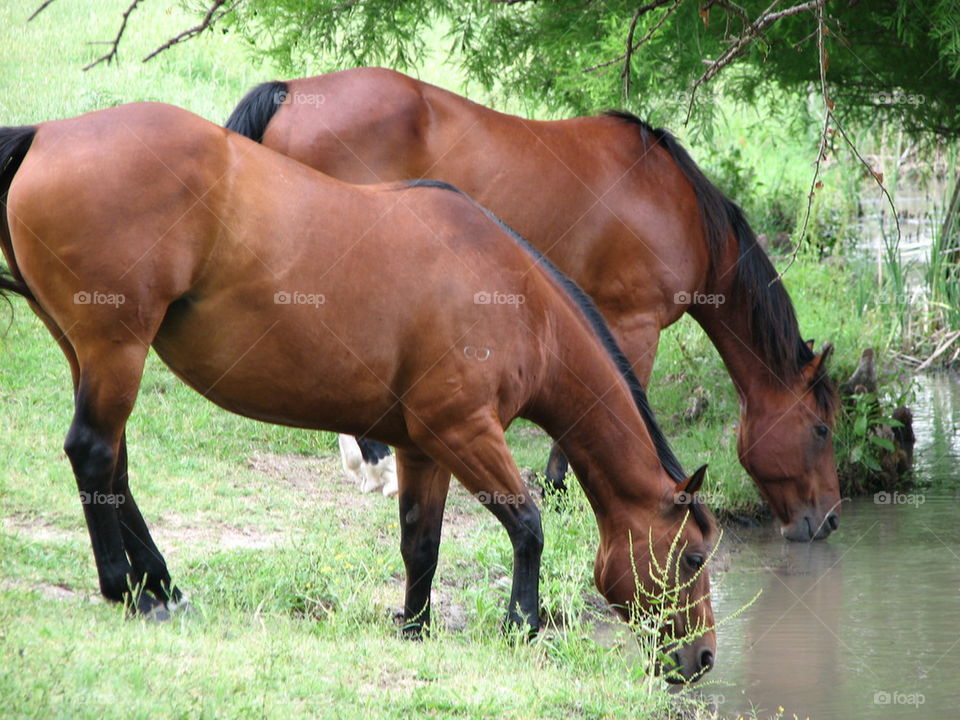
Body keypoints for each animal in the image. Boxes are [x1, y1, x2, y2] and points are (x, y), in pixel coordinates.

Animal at [1, 102, 712, 680]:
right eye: (692, 559)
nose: (703, 659)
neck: (517, 298)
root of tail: (48, 134)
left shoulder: (424, 445)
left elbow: (421, 542)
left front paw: (415, 626)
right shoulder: (465, 431)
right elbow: (528, 524)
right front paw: (522, 626)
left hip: (88, 352)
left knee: (113, 463)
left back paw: (160, 583)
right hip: (115, 349)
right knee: (94, 452)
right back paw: (126, 589)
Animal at [225, 66, 840, 540]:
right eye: (821, 429)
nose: (829, 520)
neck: (676, 205)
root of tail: (293, 90)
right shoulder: (635, 324)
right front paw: (565, 490)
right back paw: (380, 468)